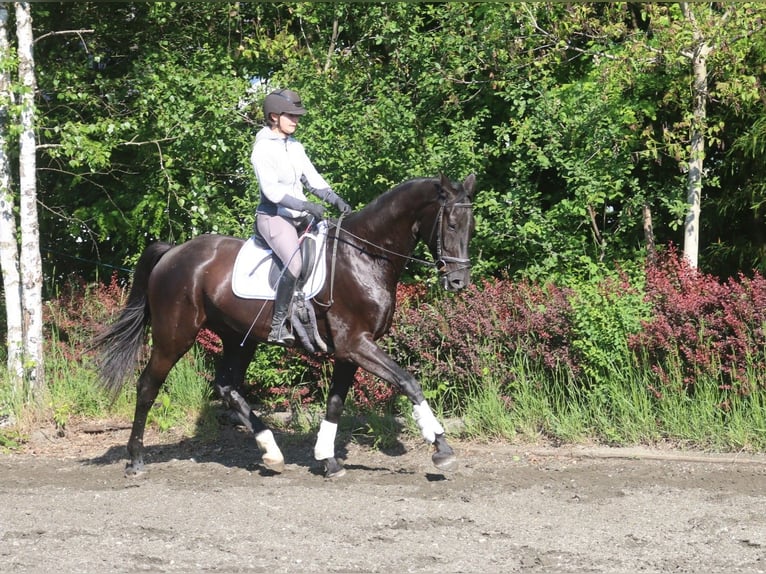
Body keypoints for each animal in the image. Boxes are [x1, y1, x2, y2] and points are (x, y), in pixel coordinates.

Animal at [93, 173, 480, 480]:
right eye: (451, 224)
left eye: (471, 226)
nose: (458, 281)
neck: (364, 256)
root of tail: (173, 253)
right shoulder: (357, 343)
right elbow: (408, 382)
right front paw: (441, 447)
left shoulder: (348, 352)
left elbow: (335, 404)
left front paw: (328, 460)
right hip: (175, 336)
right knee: (147, 386)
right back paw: (135, 460)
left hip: (239, 338)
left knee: (227, 386)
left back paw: (271, 452)